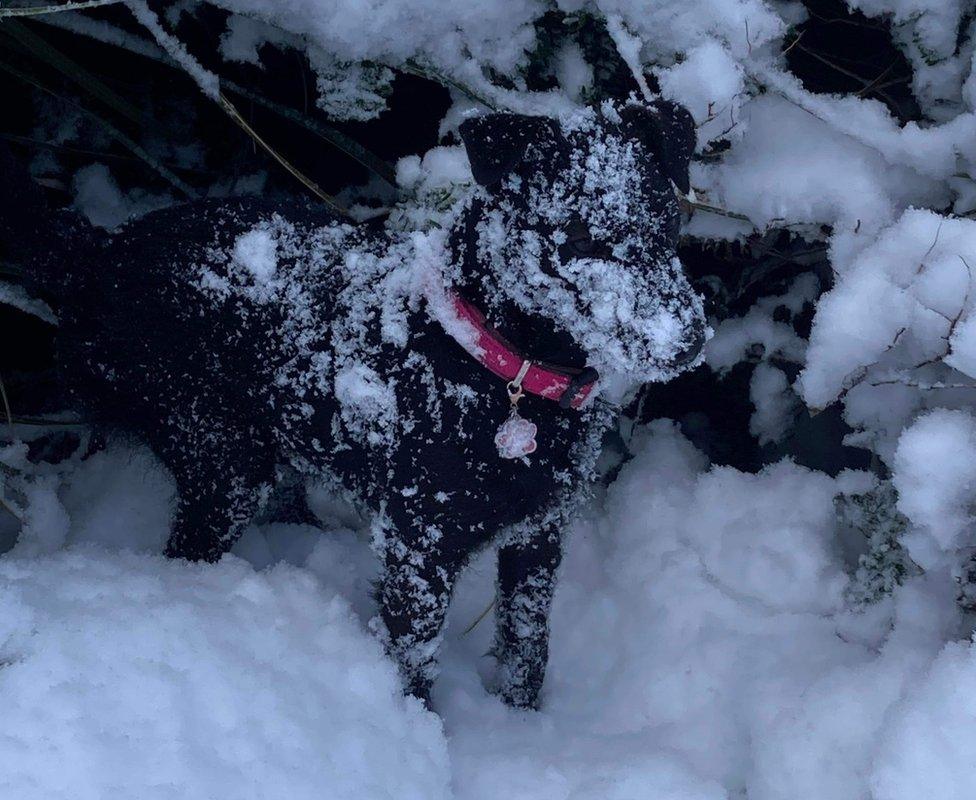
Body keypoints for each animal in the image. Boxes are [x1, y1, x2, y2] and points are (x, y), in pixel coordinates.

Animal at [7, 100, 708, 708]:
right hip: (220, 456)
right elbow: (415, 663)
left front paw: (524, 724)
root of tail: (97, 256)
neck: (501, 374)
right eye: (578, 239)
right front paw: (420, 740)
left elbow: (526, 650)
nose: (689, 339)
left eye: (666, 220)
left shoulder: (539, 537)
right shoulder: (419, 547)